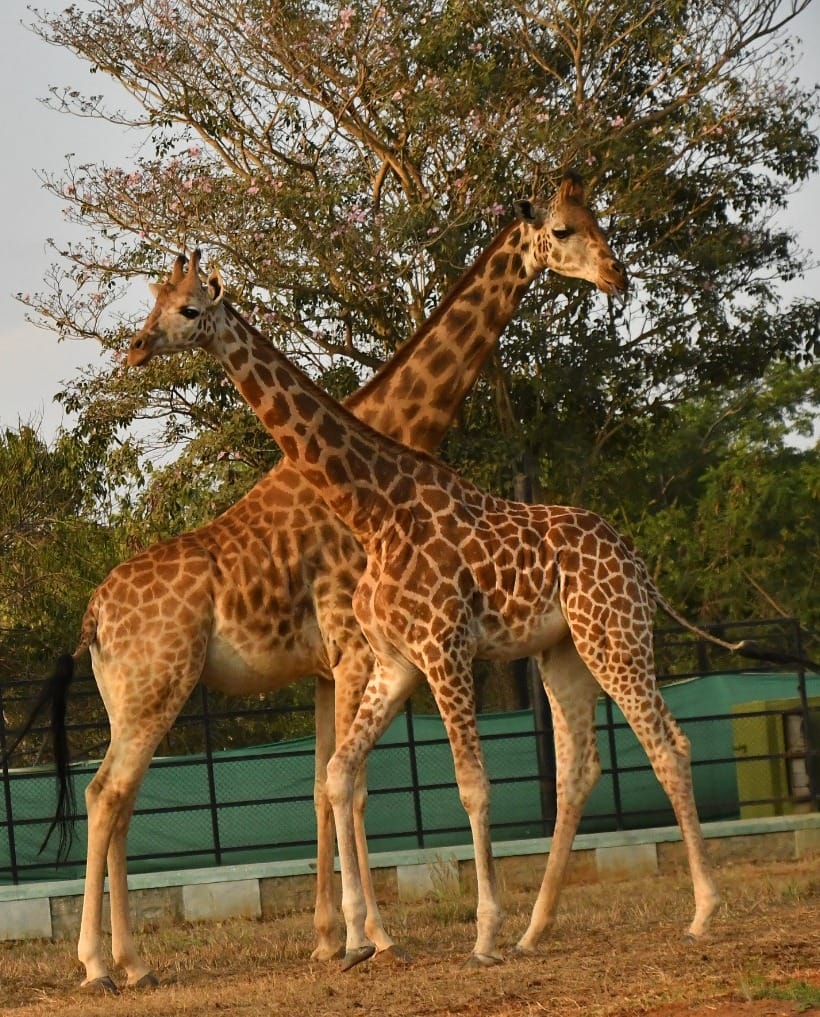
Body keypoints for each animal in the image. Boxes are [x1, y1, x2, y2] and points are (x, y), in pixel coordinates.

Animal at [11, 178, 630, 988]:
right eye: (563, 230)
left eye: (595, 222)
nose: (616, 276)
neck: (389, 435)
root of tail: (90, 613)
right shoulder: (352, 645)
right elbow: (353, 785)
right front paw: (373, 936)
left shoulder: (329, 665)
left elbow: (322, 784)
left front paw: (332, 936)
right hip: (155, 690)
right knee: (105, 793)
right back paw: (99, 964)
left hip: (132, 699)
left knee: (116, 801)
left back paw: (129, 961)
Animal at [126, 246, 769, 968]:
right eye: (153, 300)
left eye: (188, 309)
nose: (138, 347)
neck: (375, 511)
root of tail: (636, 561)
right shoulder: (397, 660)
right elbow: (340, 773)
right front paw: (362, 940)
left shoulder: (445, 648)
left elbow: (471, 782)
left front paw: (479, 934)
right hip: (564, 651)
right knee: (579, 767)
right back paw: (535, 929)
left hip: (616, 635)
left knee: (668, 744)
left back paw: (702, 912)